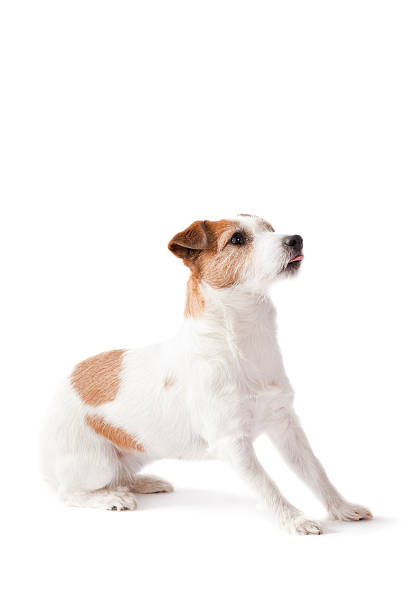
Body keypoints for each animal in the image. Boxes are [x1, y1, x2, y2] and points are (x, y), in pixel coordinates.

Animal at [41, 216, 372, 536]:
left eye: (270, 229)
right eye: (237, 239)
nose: (296, 239)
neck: (243, 341)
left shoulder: (286, 424)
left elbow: (315, 471)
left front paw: (341, 508)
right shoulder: (232, 443)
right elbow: (267, 485)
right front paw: (294, 520)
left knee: (120, 477)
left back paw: (144, 482)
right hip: (97, 462)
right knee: (71, 493)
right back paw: (111, 498)